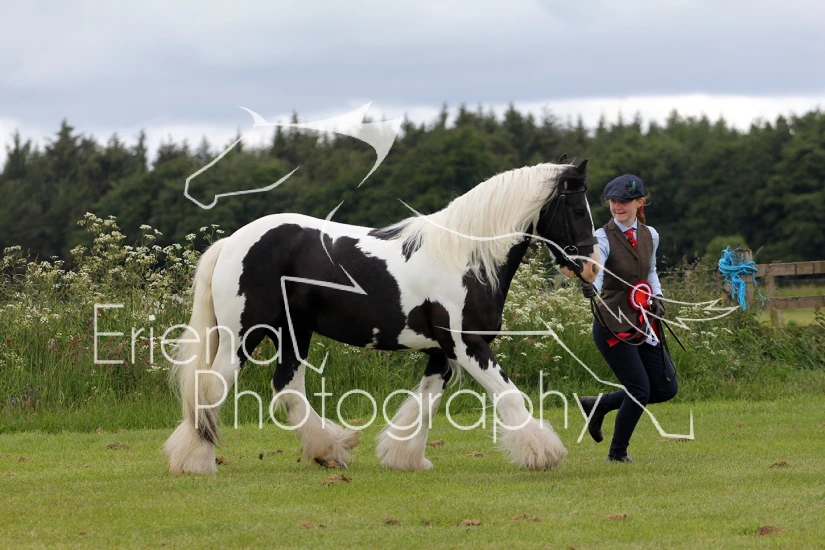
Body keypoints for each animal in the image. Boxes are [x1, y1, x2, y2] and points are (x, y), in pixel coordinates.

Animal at [165, 158, 600, 474]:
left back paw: (329, 449)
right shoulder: (467, 345)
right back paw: (196, 461)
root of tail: (232, 242)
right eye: (578, 207)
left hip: (293, 332)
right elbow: (508, 395)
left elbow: (424, 403)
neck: (465, 259)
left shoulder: (442, 353)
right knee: (211, 388)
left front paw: (404, 457)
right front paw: (543, 453)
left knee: (287, 387)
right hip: (243, 335)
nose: (592, 266)